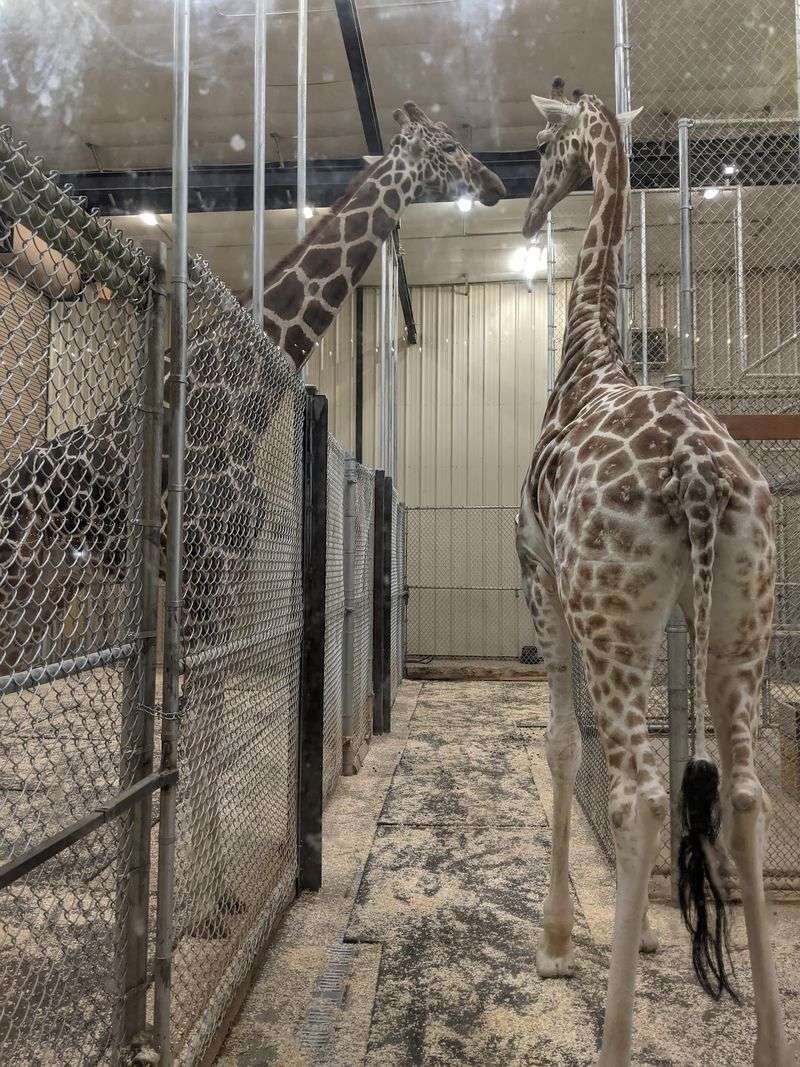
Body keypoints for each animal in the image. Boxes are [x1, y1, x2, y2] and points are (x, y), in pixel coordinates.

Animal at [515, 79, 795, 1066]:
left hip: (611, 608)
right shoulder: (664, 616)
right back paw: (768, 1042)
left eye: (546, 145)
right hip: (741, 615)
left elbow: (564, 745)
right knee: (743, 795)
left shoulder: (544, 578)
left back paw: (612, 1037)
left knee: (638, 795)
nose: (527, 208)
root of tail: (699, 471)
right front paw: (635, 936)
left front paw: (560, 941)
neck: (587, 357)